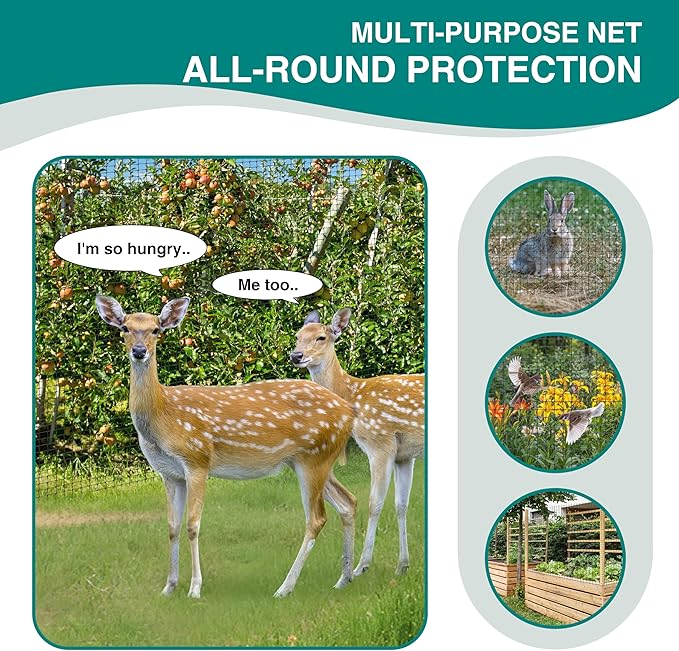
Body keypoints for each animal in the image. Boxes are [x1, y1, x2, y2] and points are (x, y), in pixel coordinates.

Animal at [95, 295, 357, 599]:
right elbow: (172, 526)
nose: (139, 351)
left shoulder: (197, 459)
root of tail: (349, 411)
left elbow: (192, 525)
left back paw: (285, 588)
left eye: (156, 330)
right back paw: (345, 578)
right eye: (125, 328)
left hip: (315, 457)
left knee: (316, 518)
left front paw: (195, 588)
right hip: (311, 460)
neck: (163, 415)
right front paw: (169, 587)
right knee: (348, 501)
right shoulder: (169, 473)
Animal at [290, 308, 424, 577]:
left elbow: (375, 503)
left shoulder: (380, 443)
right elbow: (401, 504)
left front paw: (361, 566)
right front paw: (402, 565)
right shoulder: (404, 454)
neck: (353, 396)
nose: (295, 355)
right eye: (297, 336)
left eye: (321, 337)